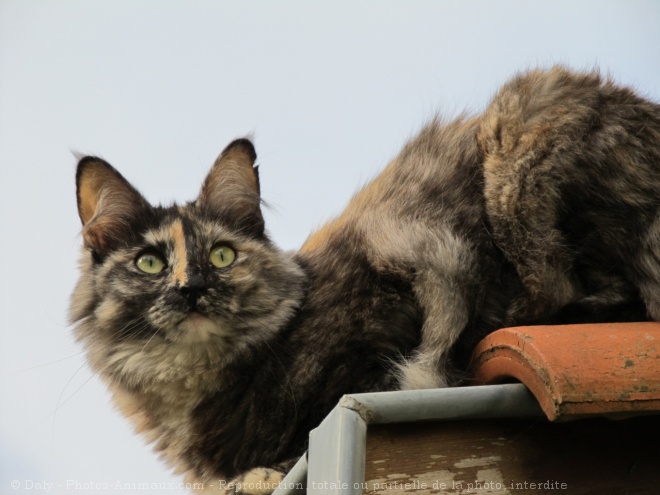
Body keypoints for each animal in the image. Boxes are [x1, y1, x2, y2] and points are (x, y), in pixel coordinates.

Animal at [71, 65, 660, 492]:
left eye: (221, 256)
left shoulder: (390, 322)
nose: (192, 290)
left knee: (565, 291)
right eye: (150, 263)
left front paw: (259, 473)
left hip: (515, 137)